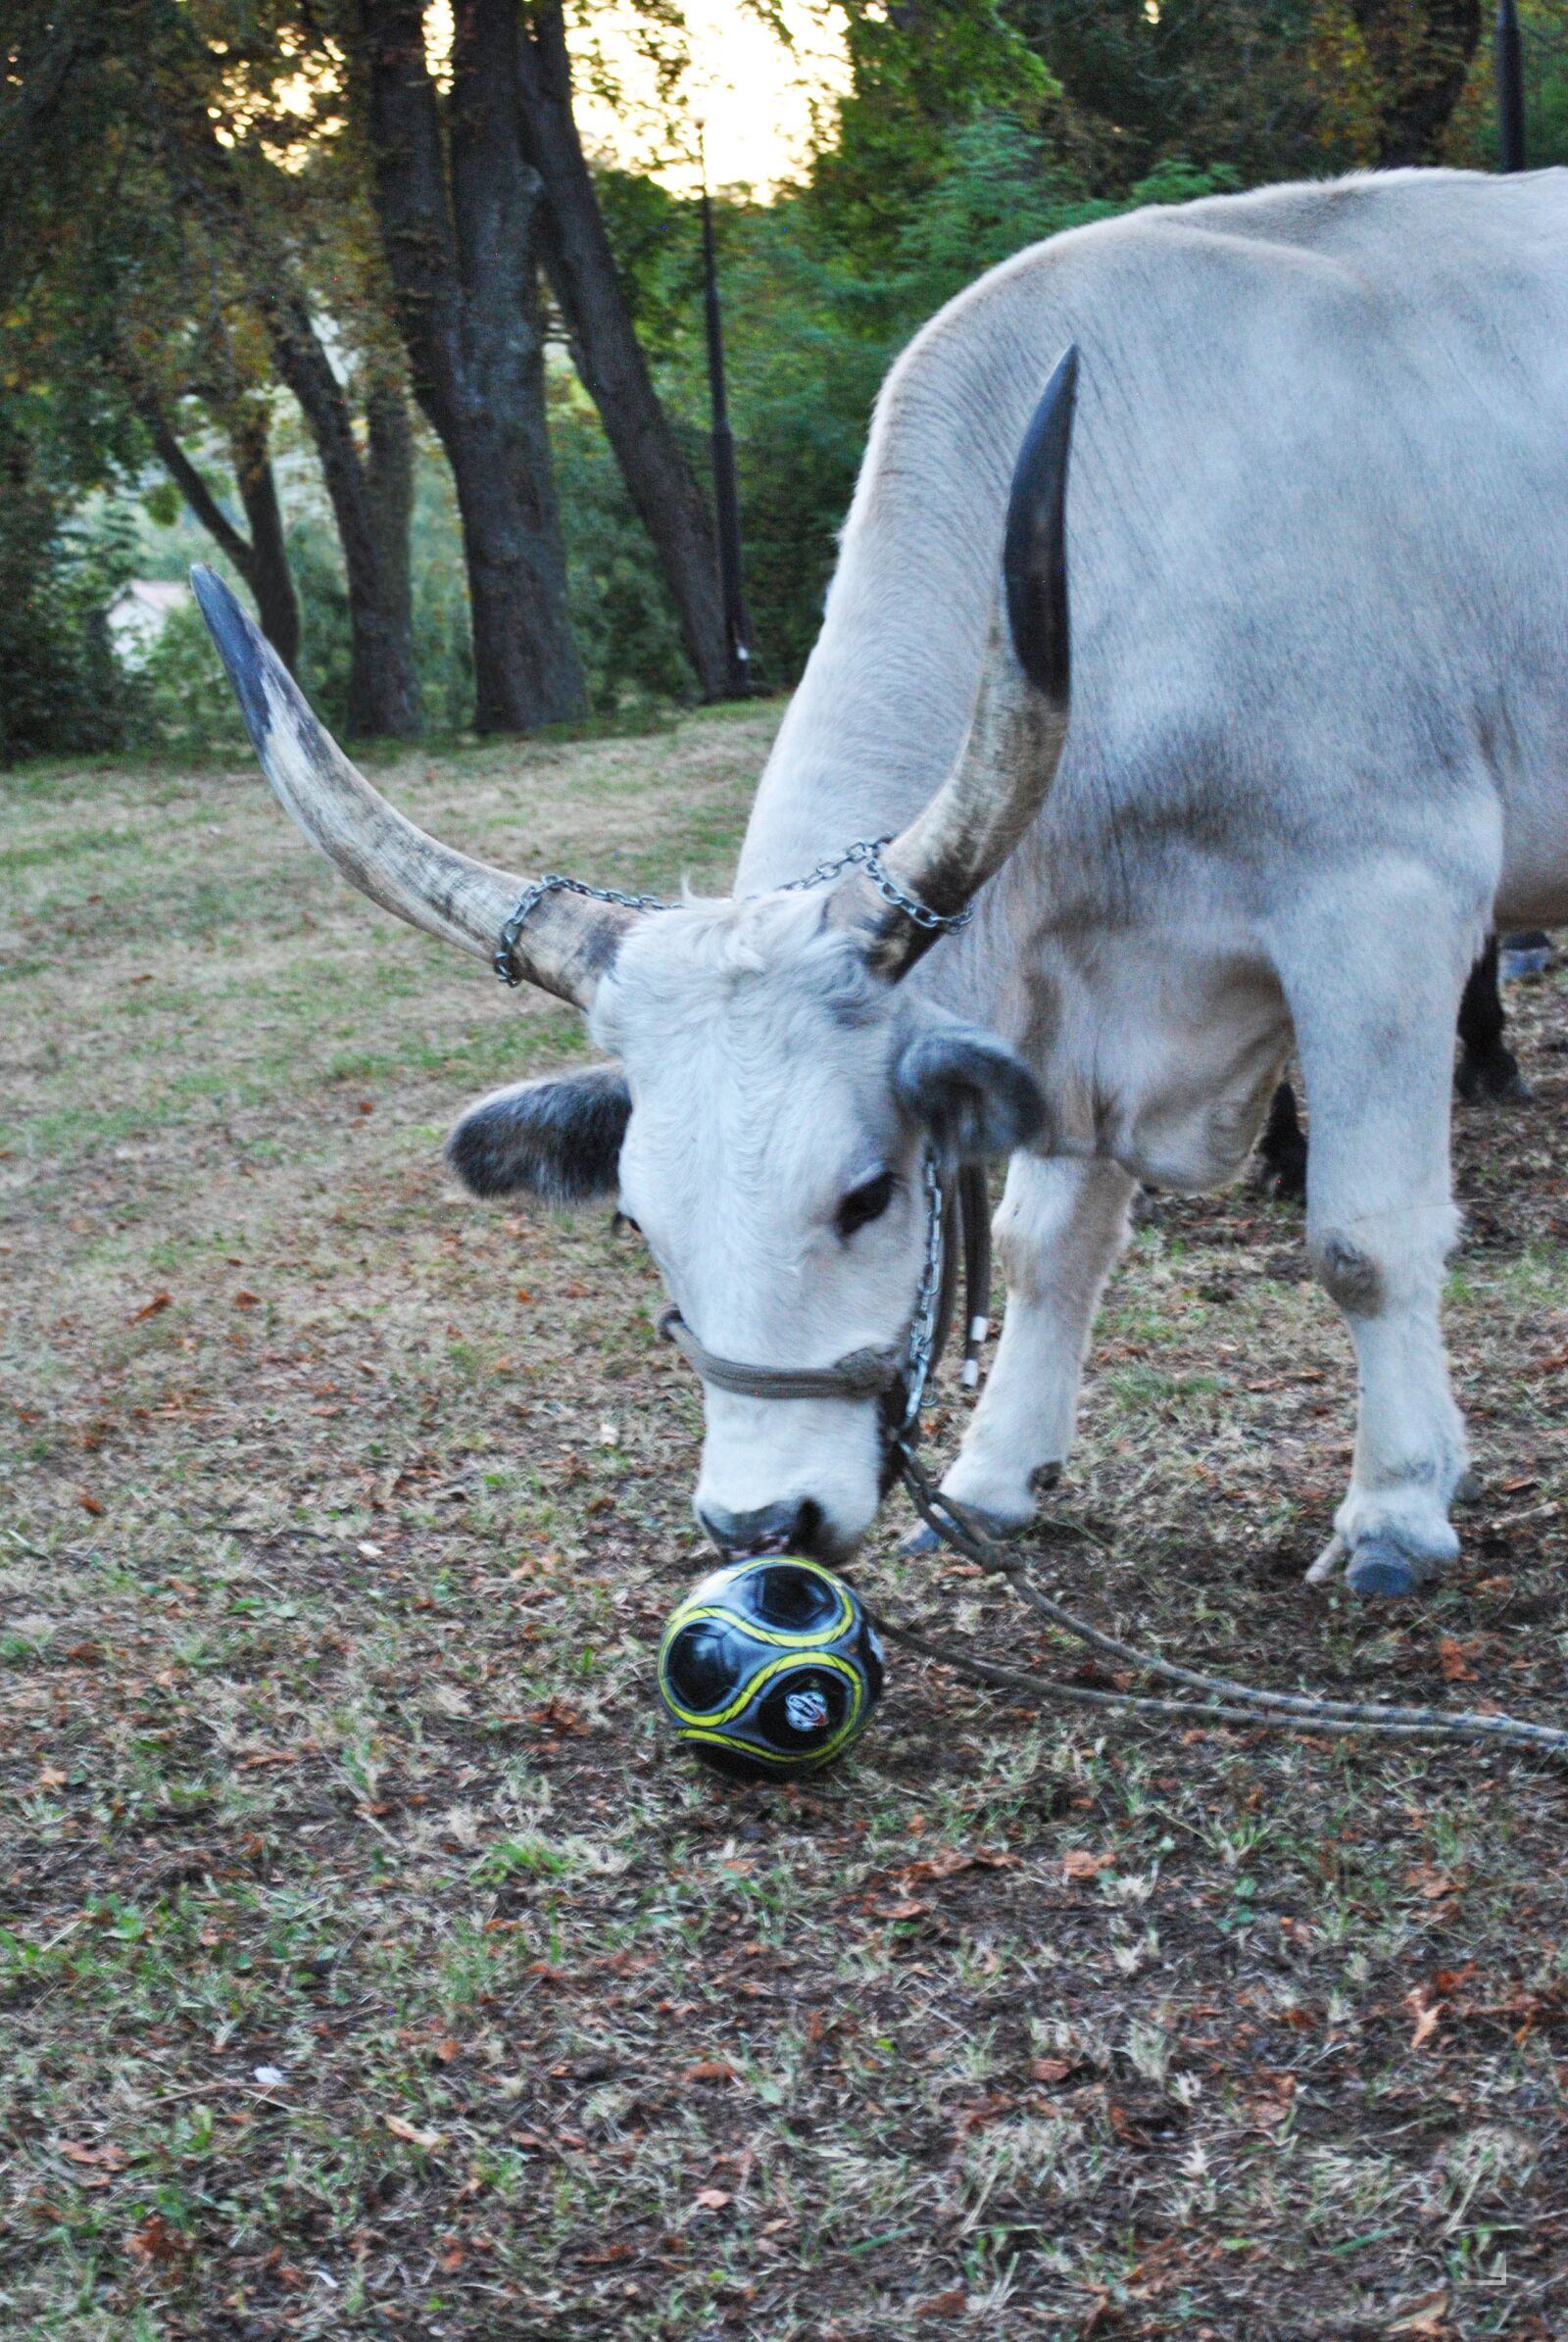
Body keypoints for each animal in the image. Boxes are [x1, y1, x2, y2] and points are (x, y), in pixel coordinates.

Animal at [196, 166, 1568, 1603]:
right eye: (639, 1220)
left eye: (864, 1195)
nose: (761, 1521)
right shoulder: (1071, 992)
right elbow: (1043, 1244)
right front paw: (996, 1477)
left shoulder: (1384, 909)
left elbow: (1363, 1235)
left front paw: (1398, 1505)